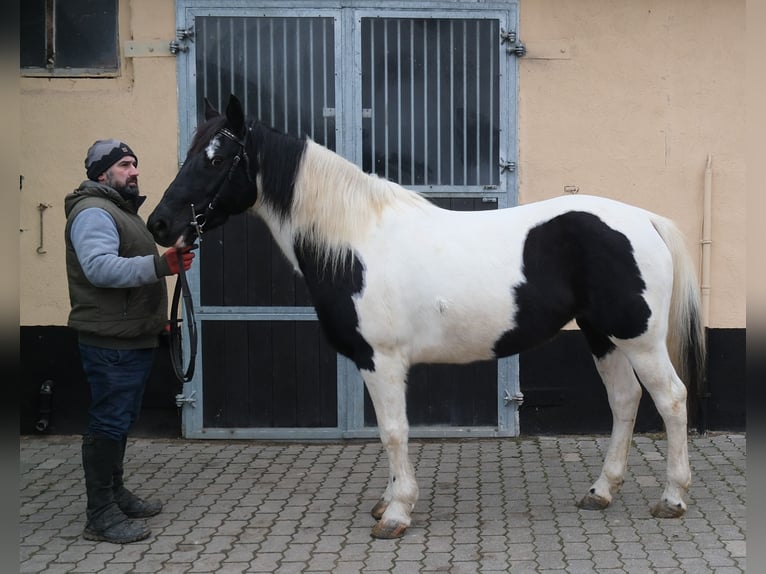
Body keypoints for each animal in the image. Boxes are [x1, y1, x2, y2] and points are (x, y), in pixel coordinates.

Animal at [148, 94, 705, 539]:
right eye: (188, 154)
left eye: (217, 158)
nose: (161, 224)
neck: (354, 242)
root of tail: (645, 220)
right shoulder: (373, 363)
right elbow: (386, 430)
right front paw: (386, 501)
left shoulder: (382, 359)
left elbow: (394, 431)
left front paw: (396, 513)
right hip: (601, 333)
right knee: (624, 400)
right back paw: (601, 490)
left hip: (638, 337)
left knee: (671, 399)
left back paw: (673, 498)